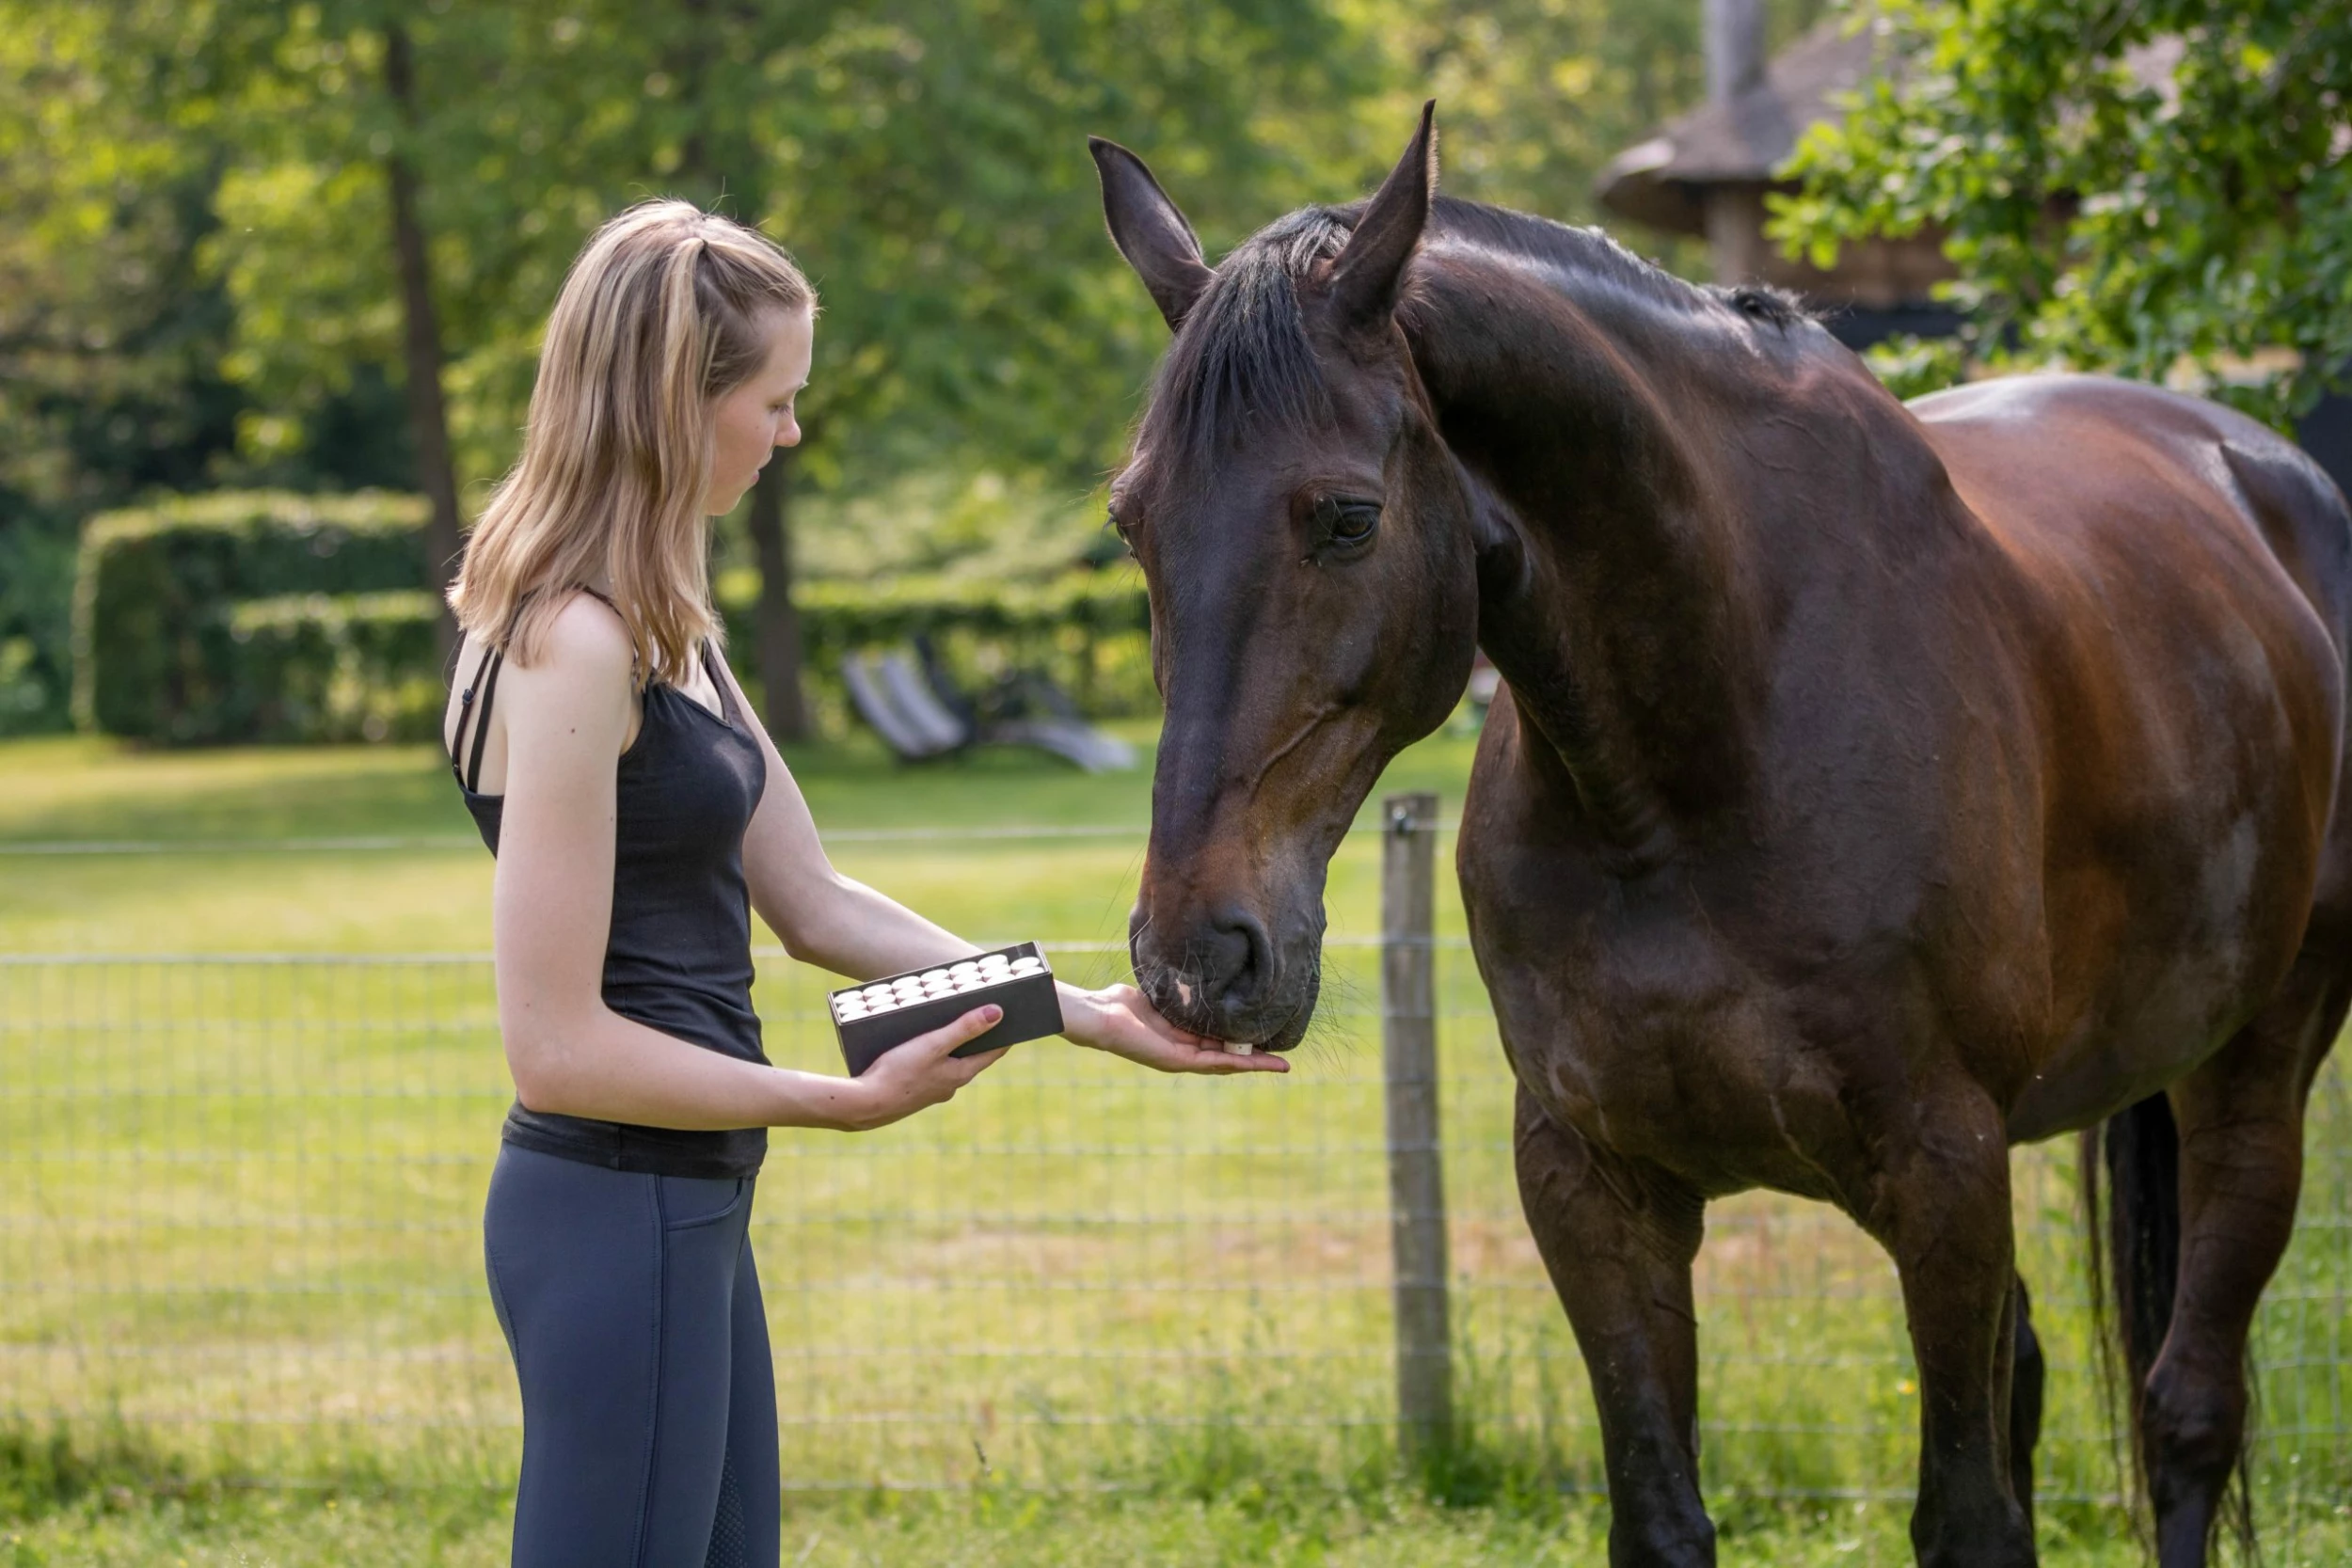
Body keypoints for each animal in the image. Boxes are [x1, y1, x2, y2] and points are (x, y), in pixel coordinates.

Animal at [1089, 105, 2352, 1567]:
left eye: (1347, 517)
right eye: (1132, 519)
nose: (1197, 957)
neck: (1700, 757)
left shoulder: (1943, 1168)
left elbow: (1967, 1512)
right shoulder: (1594, 1184)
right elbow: (1665, 1507)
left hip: (2251, 1071)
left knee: (2185, 1411)